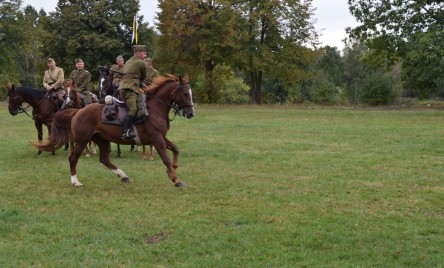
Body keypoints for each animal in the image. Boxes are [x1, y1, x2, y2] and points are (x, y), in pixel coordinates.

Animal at [32, 74, 195, 187]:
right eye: (186, 94)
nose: (191, 114)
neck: (155, 108)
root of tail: (78, 112)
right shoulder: (157, 138)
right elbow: (166, 157)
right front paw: (175, 179)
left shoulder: (161, 136)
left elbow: (176, 149)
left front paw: (173, 168)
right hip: (82, 140)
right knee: (73, 158)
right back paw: (75, 182)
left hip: (102, 140)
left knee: (104, 159)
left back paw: (123, 176)